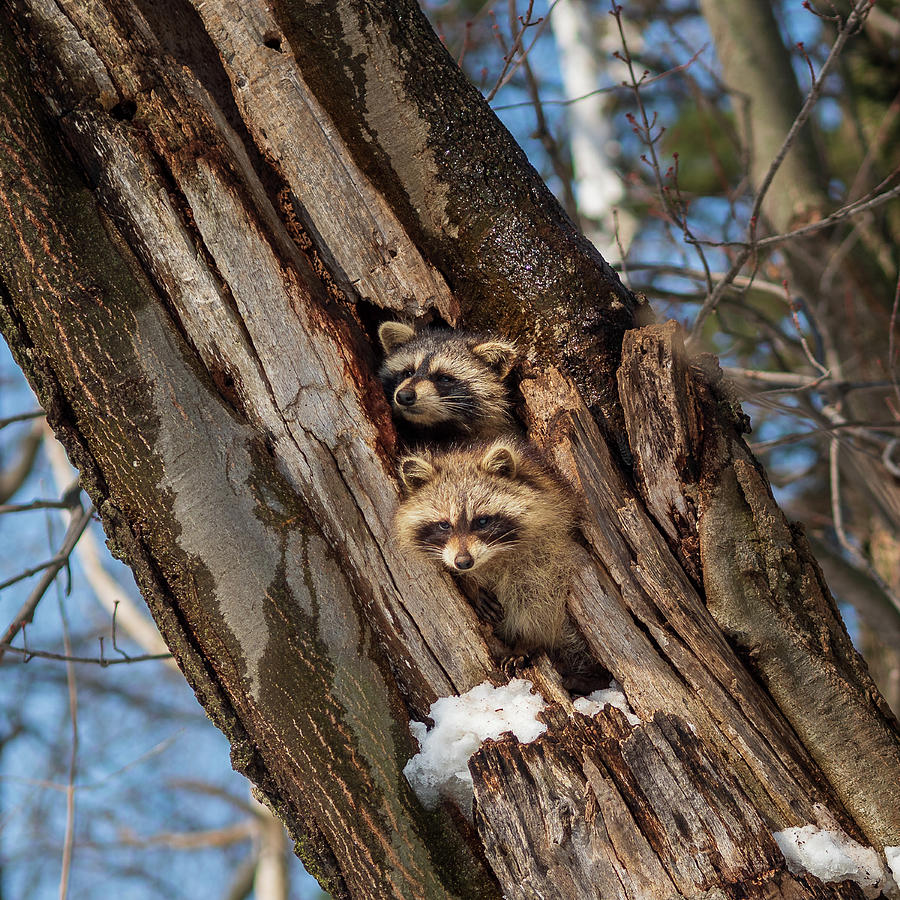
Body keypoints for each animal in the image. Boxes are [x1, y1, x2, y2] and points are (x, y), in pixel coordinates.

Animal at [396, 436, 592, 668]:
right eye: (444, 525)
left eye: (482, 521)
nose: (463, 562)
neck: (492, 559)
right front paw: (470, 585)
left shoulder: (550, 552)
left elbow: (539, 601)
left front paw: (526, 642)